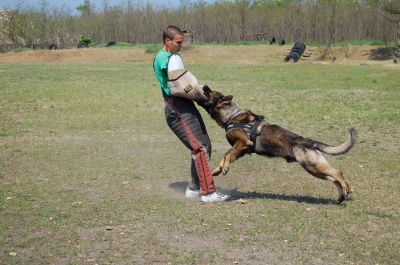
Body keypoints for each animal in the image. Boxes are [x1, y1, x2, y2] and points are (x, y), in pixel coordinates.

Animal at [203, 85, 356, 201]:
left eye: (211, 92)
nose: (204, 85)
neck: (231, 116)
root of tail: (309, 141)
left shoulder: (243, 143)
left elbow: (227, 154)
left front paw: (224, 168)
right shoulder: (241, 150)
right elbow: (227, 156)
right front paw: (218, 169)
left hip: (313, 166)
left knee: (337, 173)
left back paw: (346, 189)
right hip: (314, 169)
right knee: (334, 179)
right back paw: (342, 195)